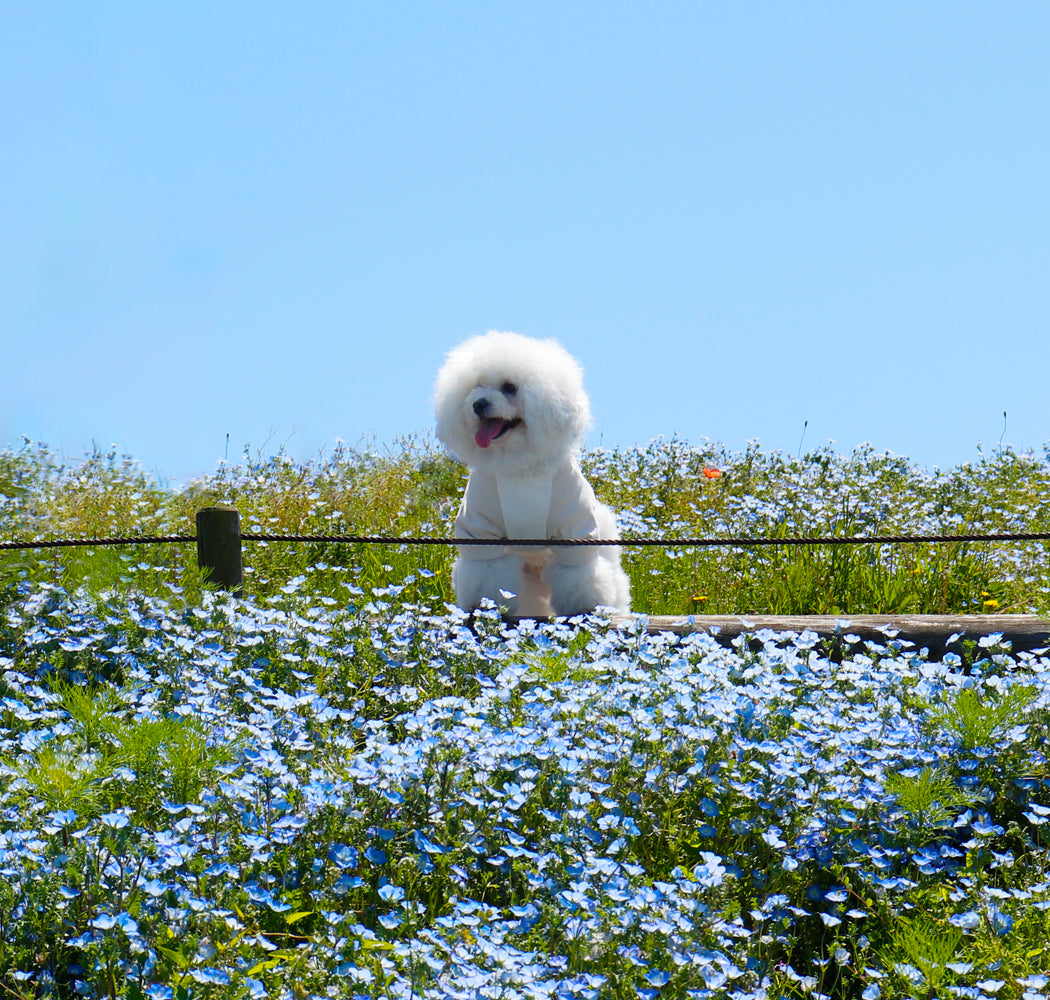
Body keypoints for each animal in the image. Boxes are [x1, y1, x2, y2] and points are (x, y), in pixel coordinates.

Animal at [434, 334, 630, 617]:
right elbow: (487, 575)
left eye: (510, 387)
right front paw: (485, 608)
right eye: (477, 386)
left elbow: (577, 574)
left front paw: (582, 607)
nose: (478, 404)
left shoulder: (574, 532)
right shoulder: (482, 533)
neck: (520, 470)